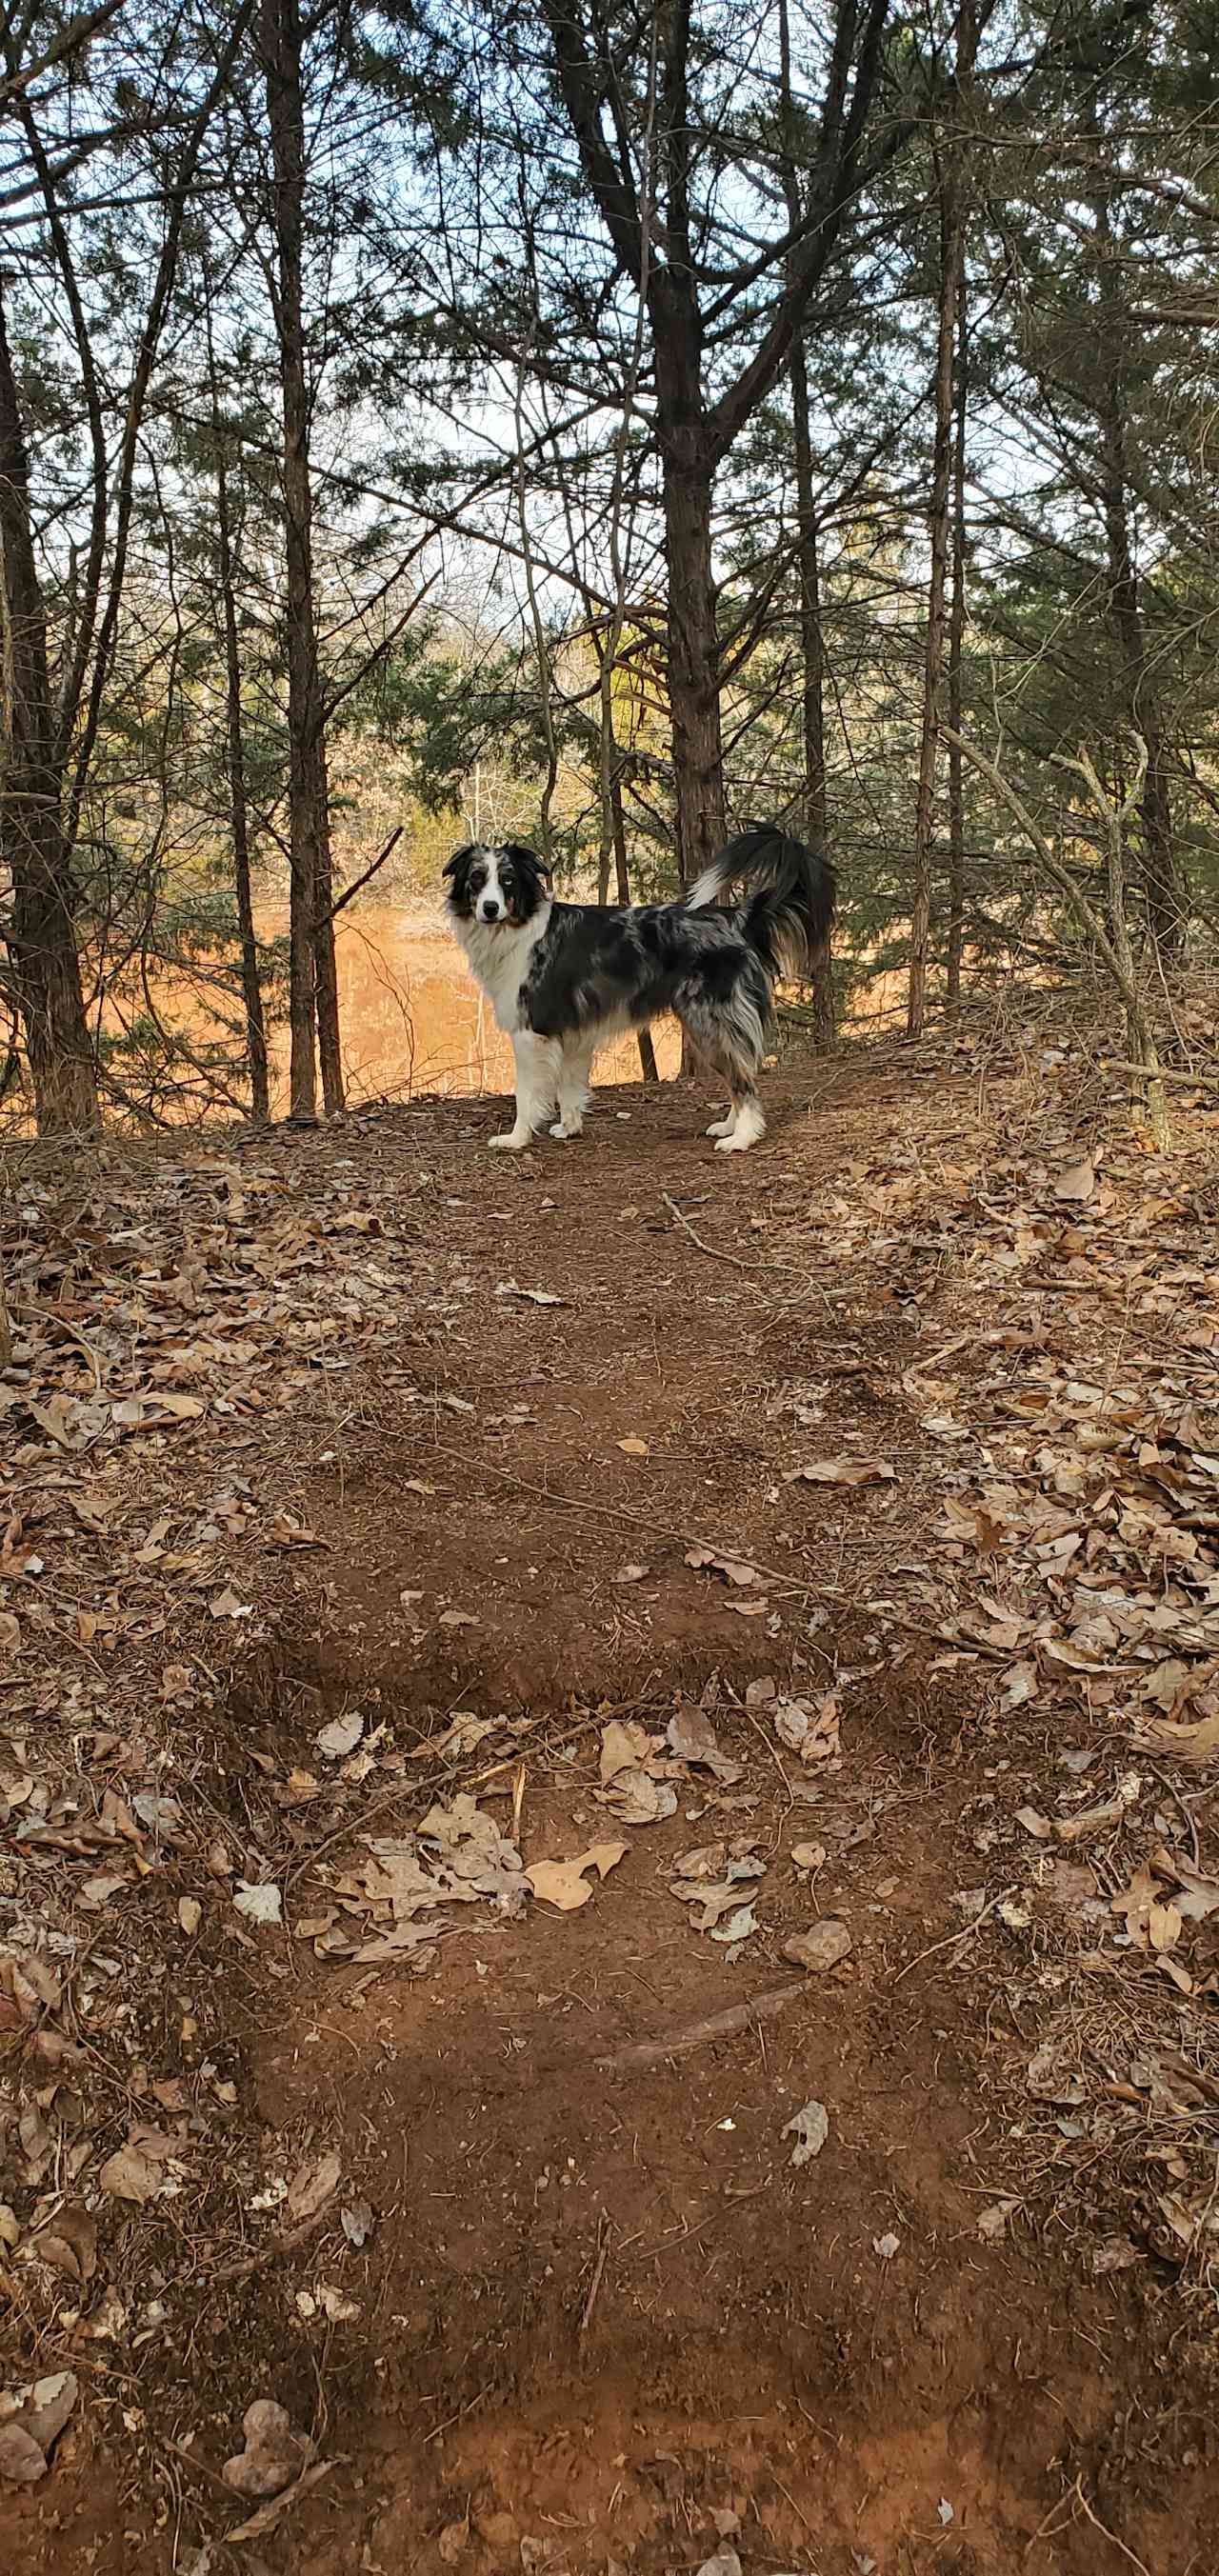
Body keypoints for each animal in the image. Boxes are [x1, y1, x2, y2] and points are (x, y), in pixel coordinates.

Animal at [440, 819, 829, 1153]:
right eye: (476, 878)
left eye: (507, 881)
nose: (490, 908)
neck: (519, 927)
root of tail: (736, 918)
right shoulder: (572, 1032)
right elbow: (569, 1086)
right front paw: (570, 1127)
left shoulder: (531, 1032)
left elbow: (525, 1094)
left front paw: (516, 1138)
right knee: (738, 1074)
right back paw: (729, 1126)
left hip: (710, 1020)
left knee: (743, 1079)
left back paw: (743, 1137)